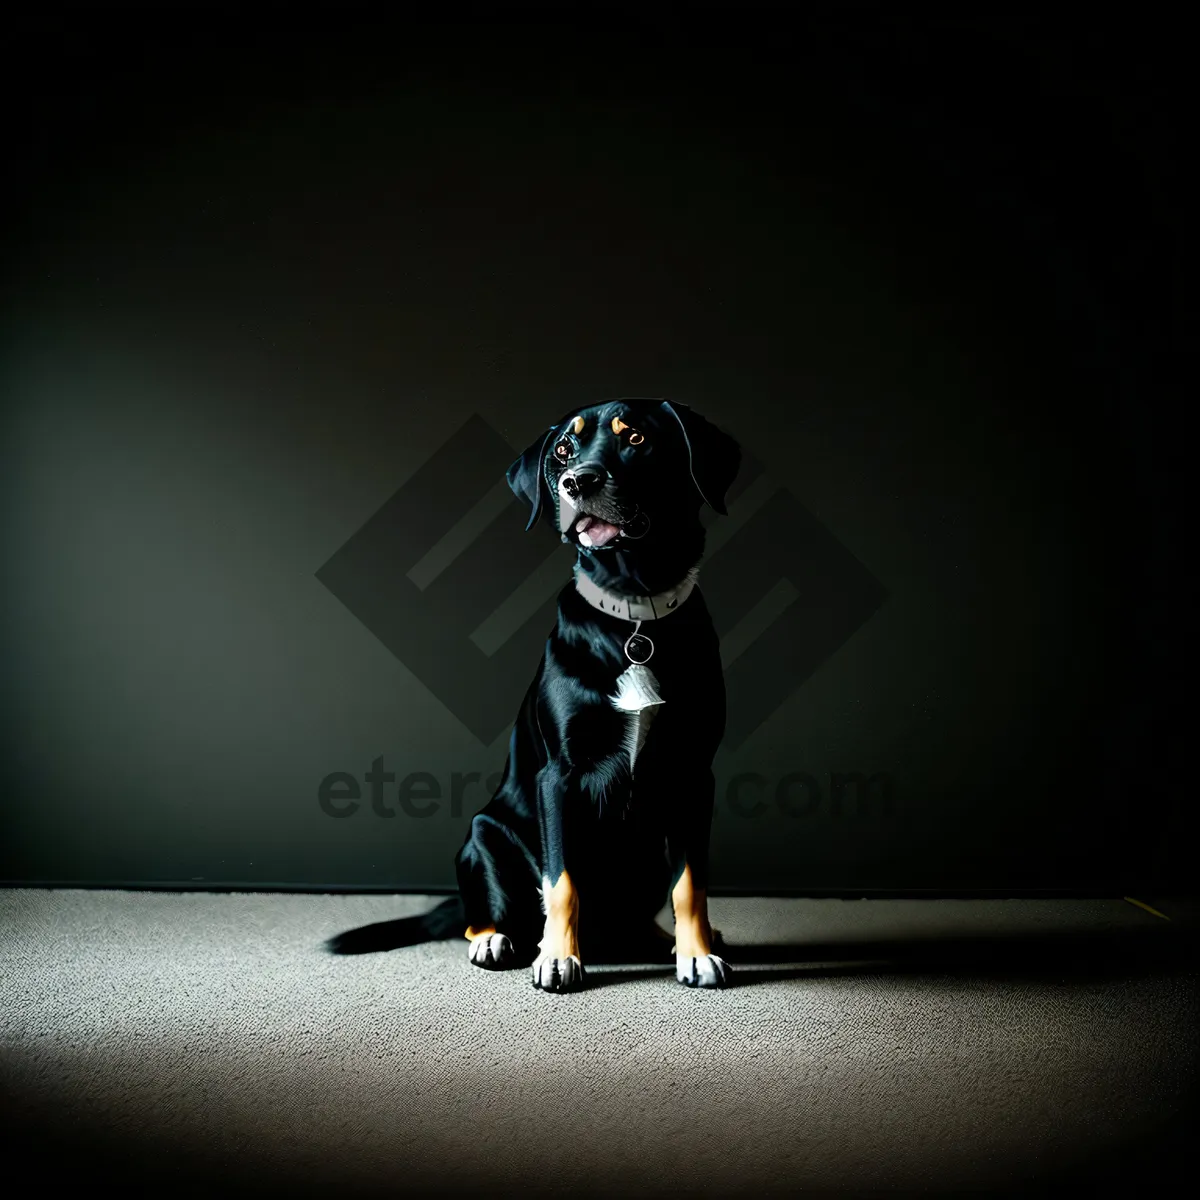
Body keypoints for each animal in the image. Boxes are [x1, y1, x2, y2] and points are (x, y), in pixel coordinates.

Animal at [328, 398, 739, 988]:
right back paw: (497, 940)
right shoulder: (558, 775)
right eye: (563, 450)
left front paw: (696, 952)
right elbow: (561, 883)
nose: (577, 481)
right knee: (486, 912)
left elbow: (692, 885)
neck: (633, 609)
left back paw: (657, 938)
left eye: (636, 437)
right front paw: (558, 957)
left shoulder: (693, 774)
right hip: (485, 834)